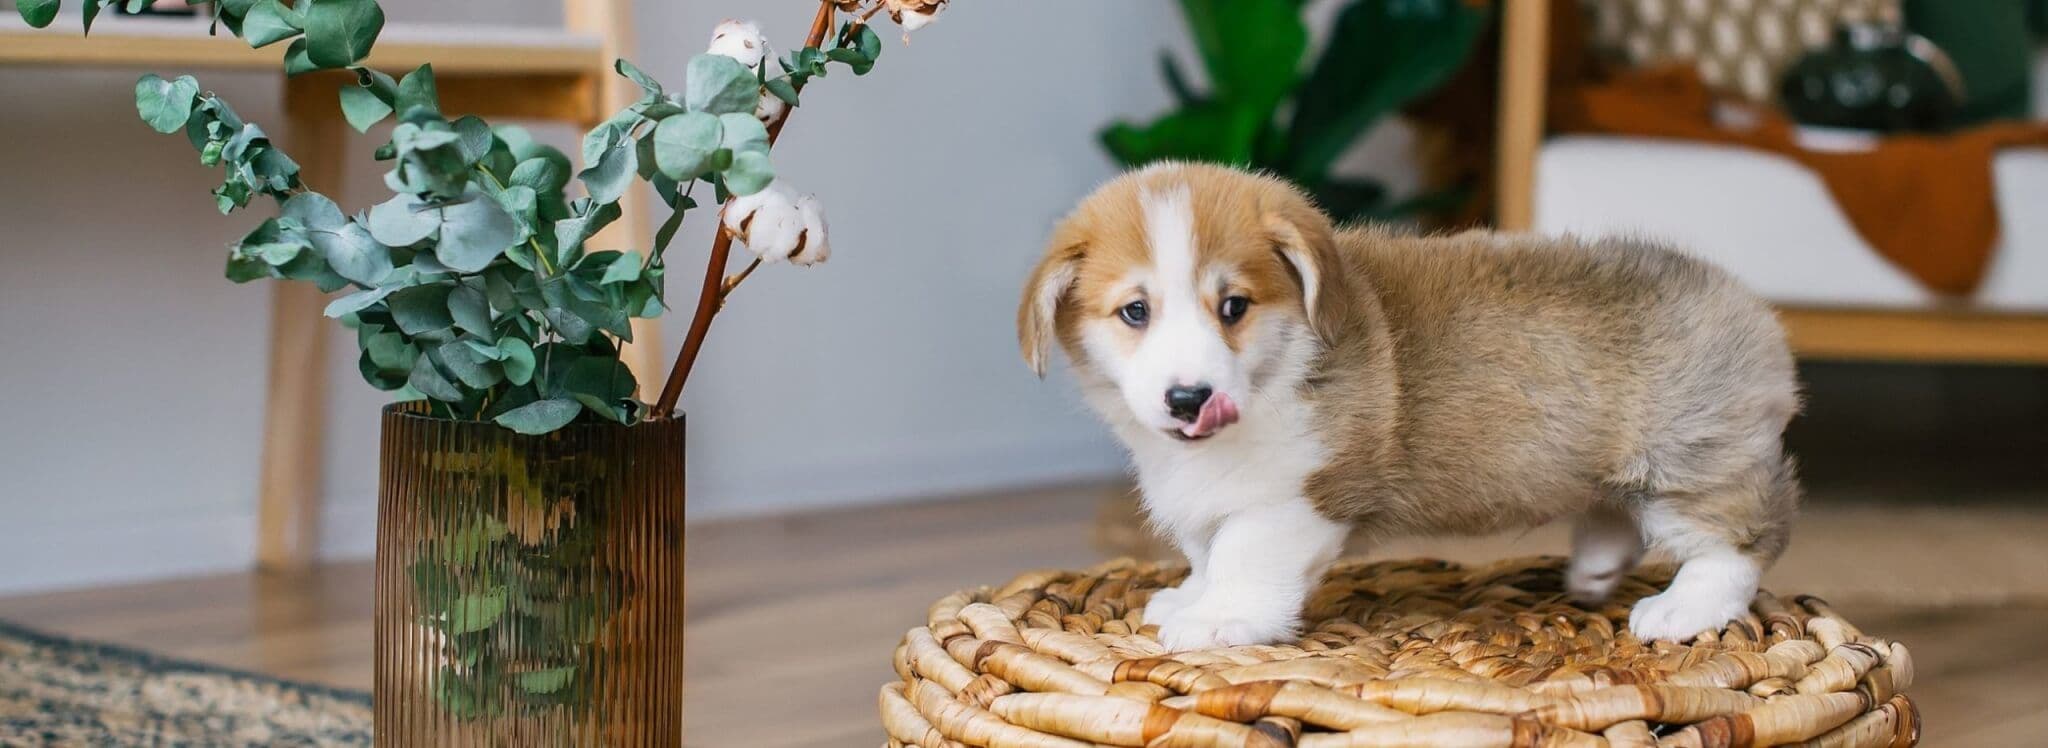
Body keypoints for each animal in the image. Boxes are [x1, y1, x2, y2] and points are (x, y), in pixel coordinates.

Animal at [1015, 162, 1802, 647]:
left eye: (1233, 306)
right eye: (1135, 312)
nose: (1189, 398)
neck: (1281, 371)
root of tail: (1748, 304)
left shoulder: (1297, 501)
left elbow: (1241, 560)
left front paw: (1221, 622)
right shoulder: (1213, 501)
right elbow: (1206, 555)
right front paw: (1189, 597)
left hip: (1686, 464)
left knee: (1741, 541)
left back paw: (1682, 608)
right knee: (1616, 514)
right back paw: (1596, 569)